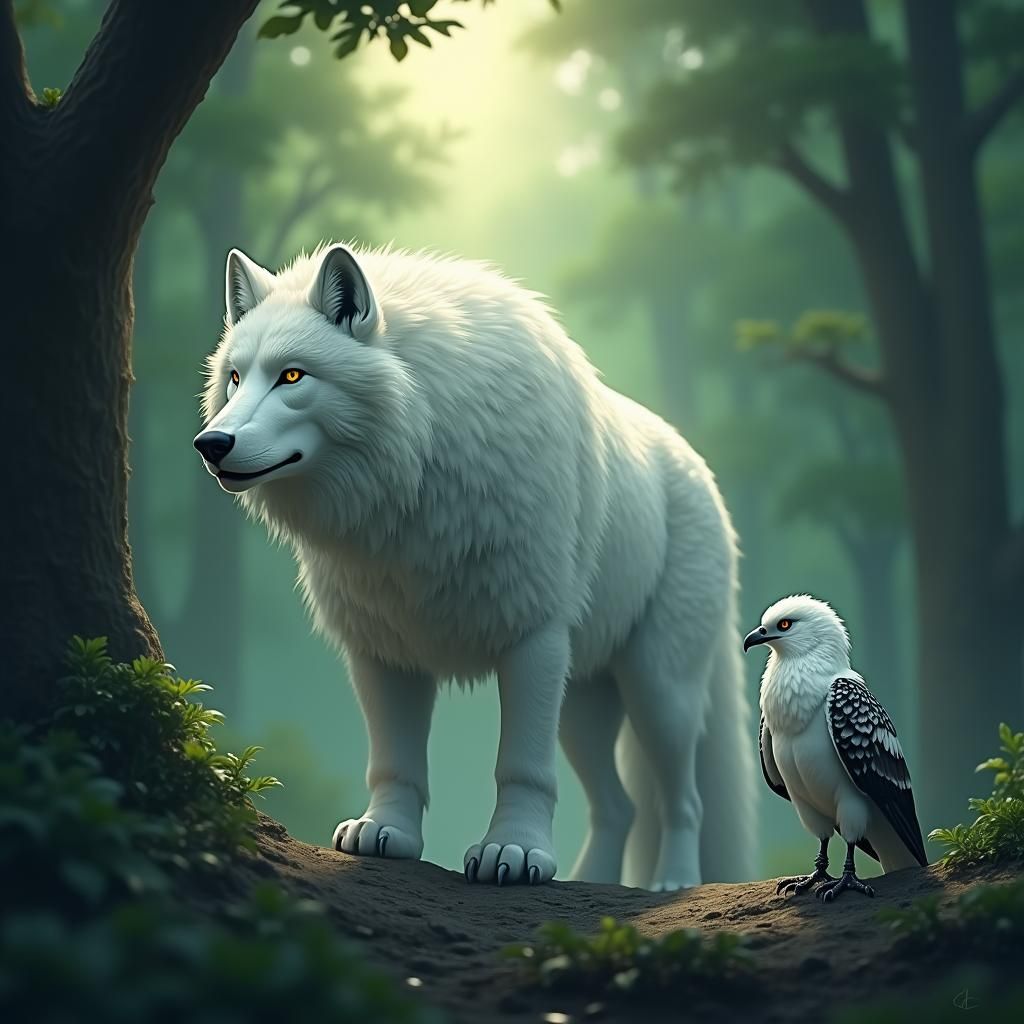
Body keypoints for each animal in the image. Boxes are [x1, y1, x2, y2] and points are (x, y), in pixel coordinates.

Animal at [194, 242, 755, 889]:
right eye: (235, 378)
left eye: (292, 376)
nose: (210, 444)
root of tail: (697, 464)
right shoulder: (382, 648)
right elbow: (393, 761)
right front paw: (384, 832)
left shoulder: (533, 638)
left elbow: (522, 767)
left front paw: (512, 852)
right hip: (580, 703)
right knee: (620, 806)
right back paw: (590, 880)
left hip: (657, 690)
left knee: (681, 798)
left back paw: (676, 882)